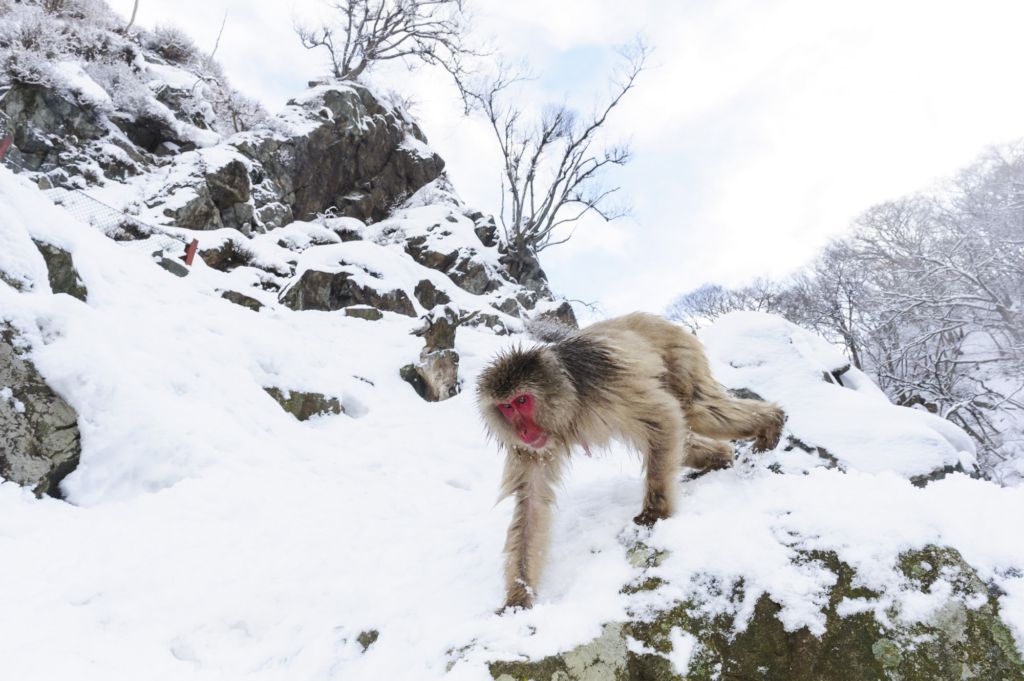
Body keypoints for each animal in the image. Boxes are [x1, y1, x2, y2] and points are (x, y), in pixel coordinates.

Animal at [477, 311, 782, 606]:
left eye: (522, 401)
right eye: (505, 407)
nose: (523, 430)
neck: (568, 403)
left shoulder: (607, 387)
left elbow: (664, 417)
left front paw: (654, 513)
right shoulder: (526, 448)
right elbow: (532, 502)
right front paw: (518, 596)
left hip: (679, 353)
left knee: (694, 408)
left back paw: (772, 424)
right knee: (685, 430)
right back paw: (722, 455)